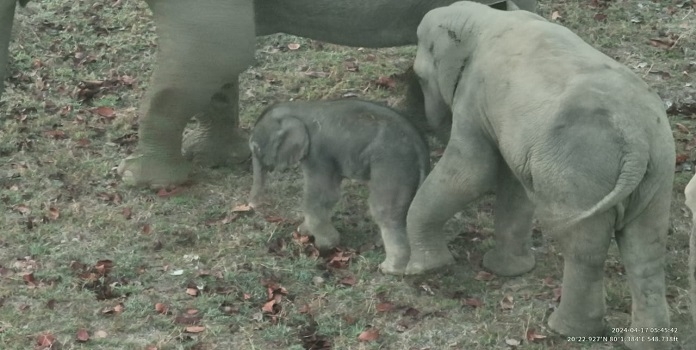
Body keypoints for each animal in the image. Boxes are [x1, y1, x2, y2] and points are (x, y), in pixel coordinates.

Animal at [245, 100, 430, 272]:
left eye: (255, 148)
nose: (251, 206)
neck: (299, 107)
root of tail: (420, 146)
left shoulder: (317, 153)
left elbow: (323, 195)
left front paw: (325, 245)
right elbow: (330, 195)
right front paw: (303, 231)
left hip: (393, 166)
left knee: (385, 210)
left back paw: (389, 269)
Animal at [400, 1, 676, 348]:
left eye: (420, 78)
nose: (429, 123)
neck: (485, 18)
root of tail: (637, 141)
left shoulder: (474, 95)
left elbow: (473, 172)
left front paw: (422, 270)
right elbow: (514, 185)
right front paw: (507, 270)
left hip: (579, 175)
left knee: (585, 250)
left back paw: (564, 330)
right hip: (658, 175)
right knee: (647, 250)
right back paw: (647, 341)